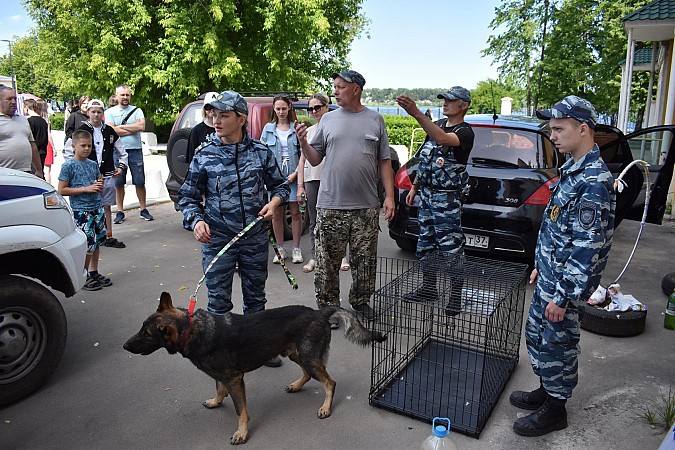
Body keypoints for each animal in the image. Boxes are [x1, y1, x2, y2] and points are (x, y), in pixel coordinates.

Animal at [122, 294, 386, 444]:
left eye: (146, 334)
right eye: (141, 328)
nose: (124, 346)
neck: (193, 330)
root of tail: (319, 312)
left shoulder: (234, 379)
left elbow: (241, 411)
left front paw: (242, 433)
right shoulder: (222, 377)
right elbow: (219, 390)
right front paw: (216, 402)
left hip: (308, 357)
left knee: (329, 382)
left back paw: (325, 407)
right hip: (295, 353)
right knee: (309, 374)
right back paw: (297, 385)